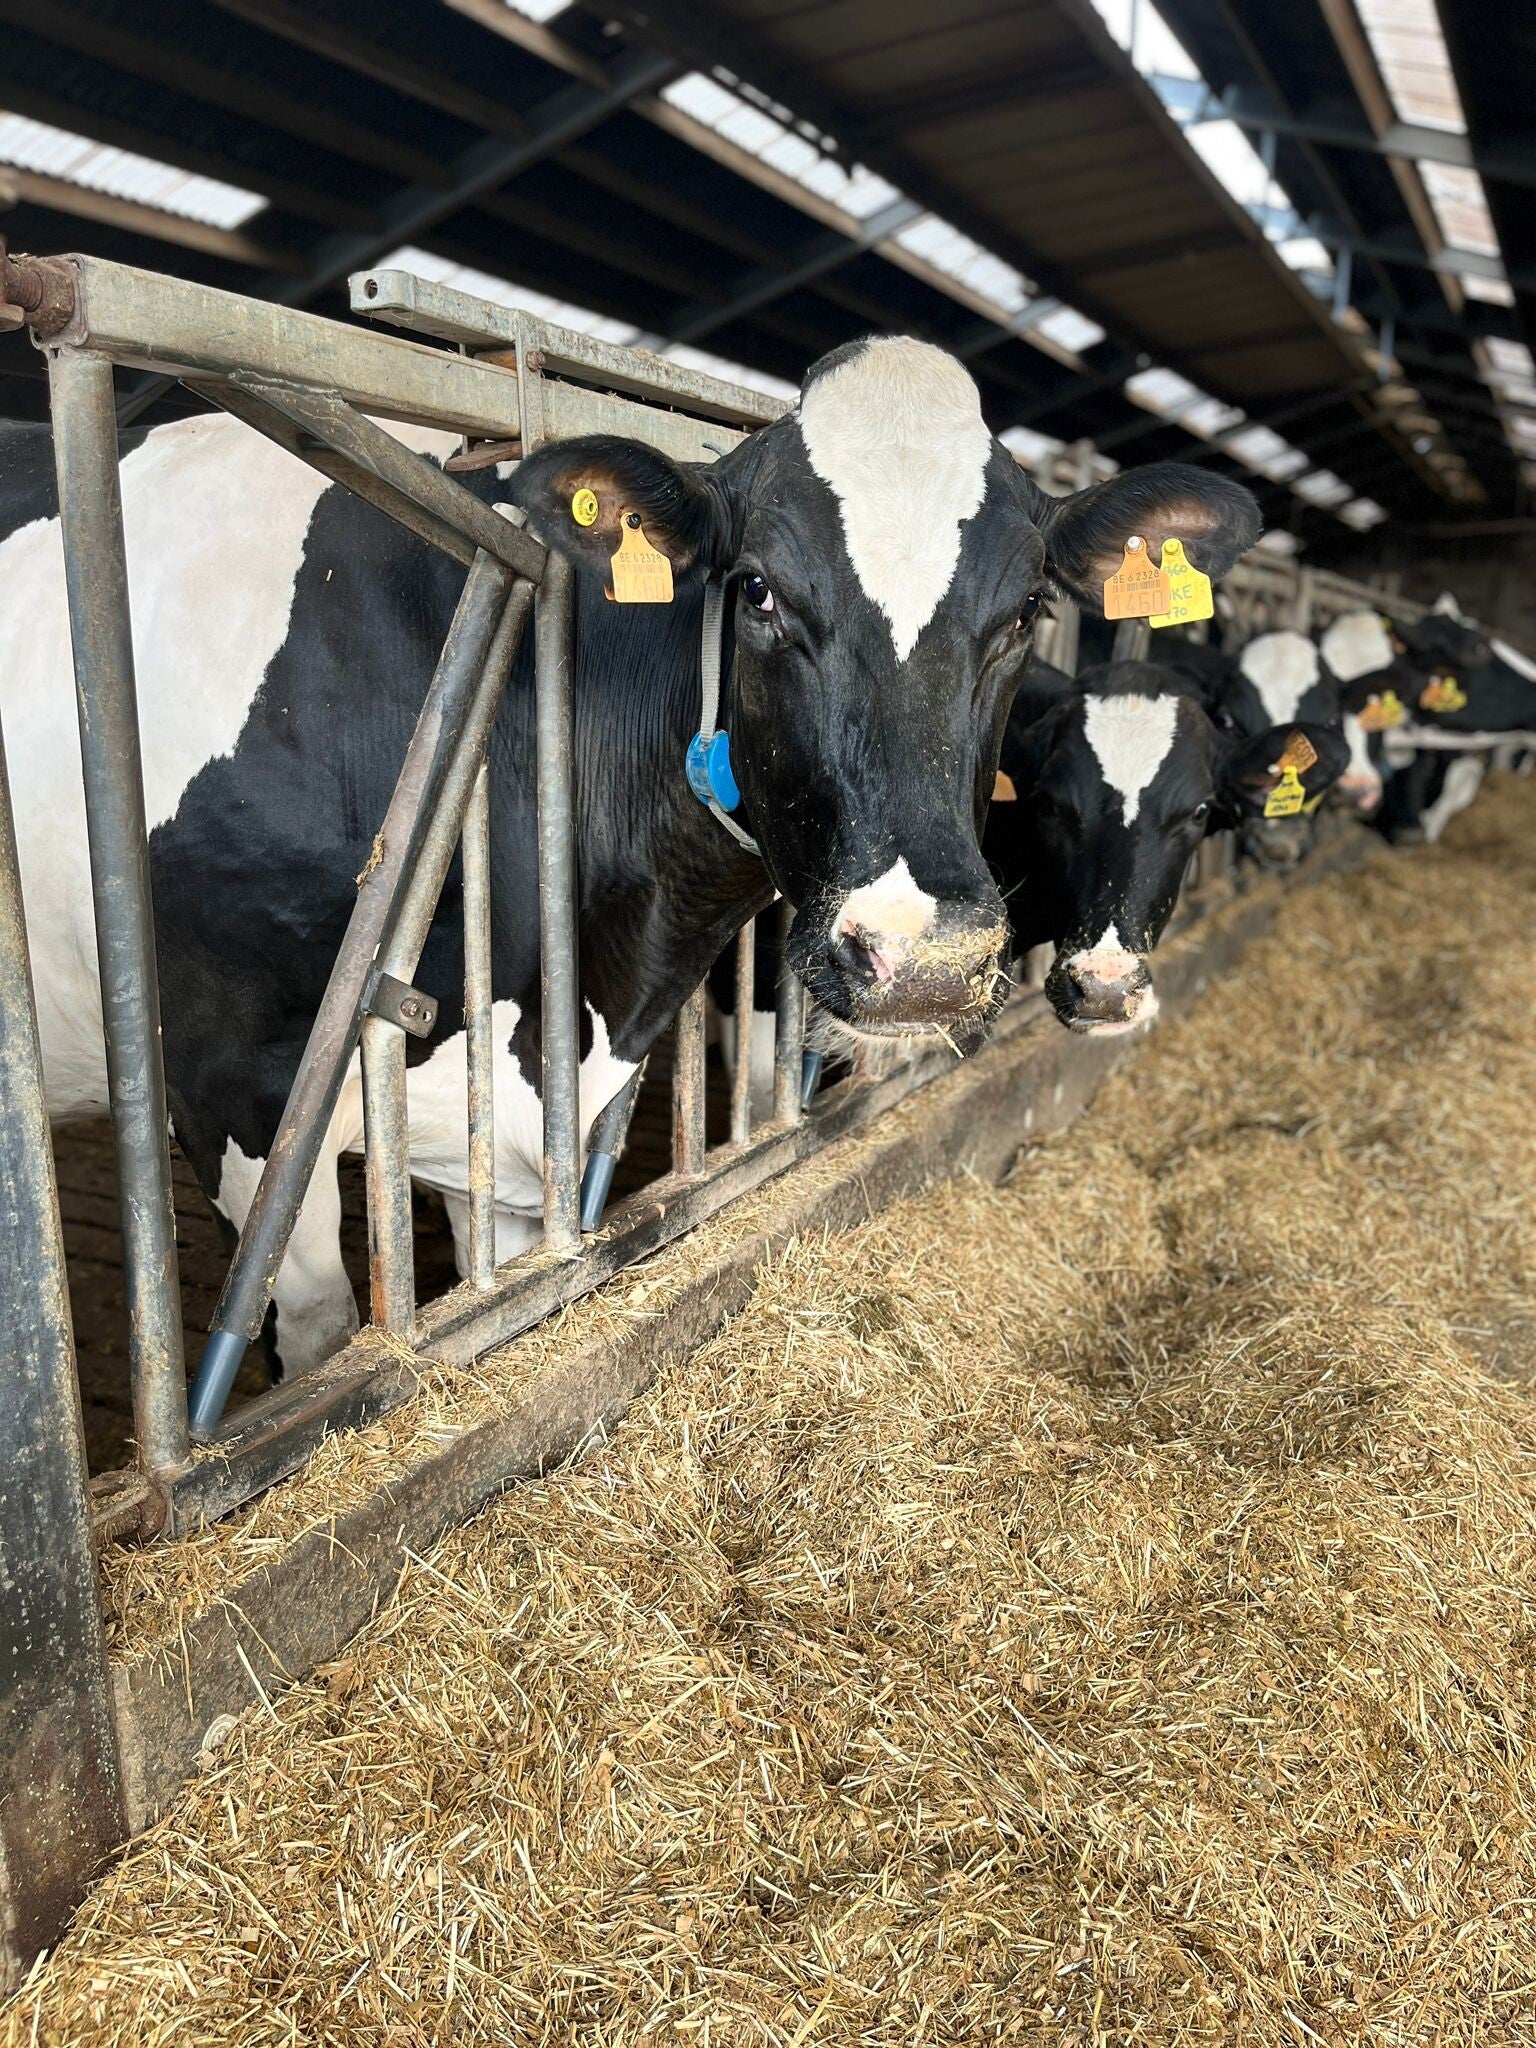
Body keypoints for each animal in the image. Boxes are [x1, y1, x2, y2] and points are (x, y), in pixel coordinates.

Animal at [0, 332, 1261, 1380]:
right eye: (756, 589)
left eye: (1027, 607)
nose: (925, 961)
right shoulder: (236, 1098)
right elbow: (315, 1344)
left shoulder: (527, 1116)